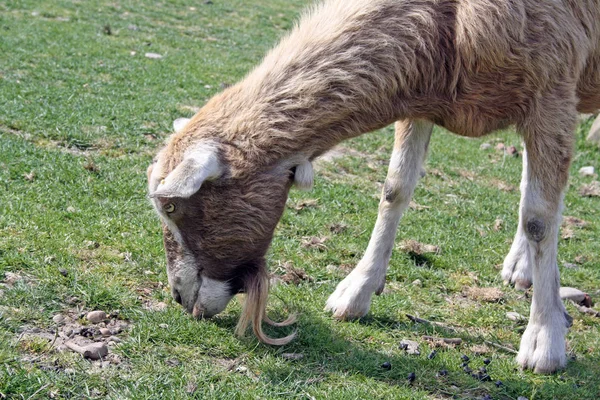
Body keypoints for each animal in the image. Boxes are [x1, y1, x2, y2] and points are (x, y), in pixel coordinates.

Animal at [146, 0, 600, 374]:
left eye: (170, 207)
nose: (179, 297)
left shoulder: (552, 97)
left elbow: (540, 218)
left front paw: (545, 339)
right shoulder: (422, 103)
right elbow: (395, 189)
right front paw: (356, 291)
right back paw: (519, 266)